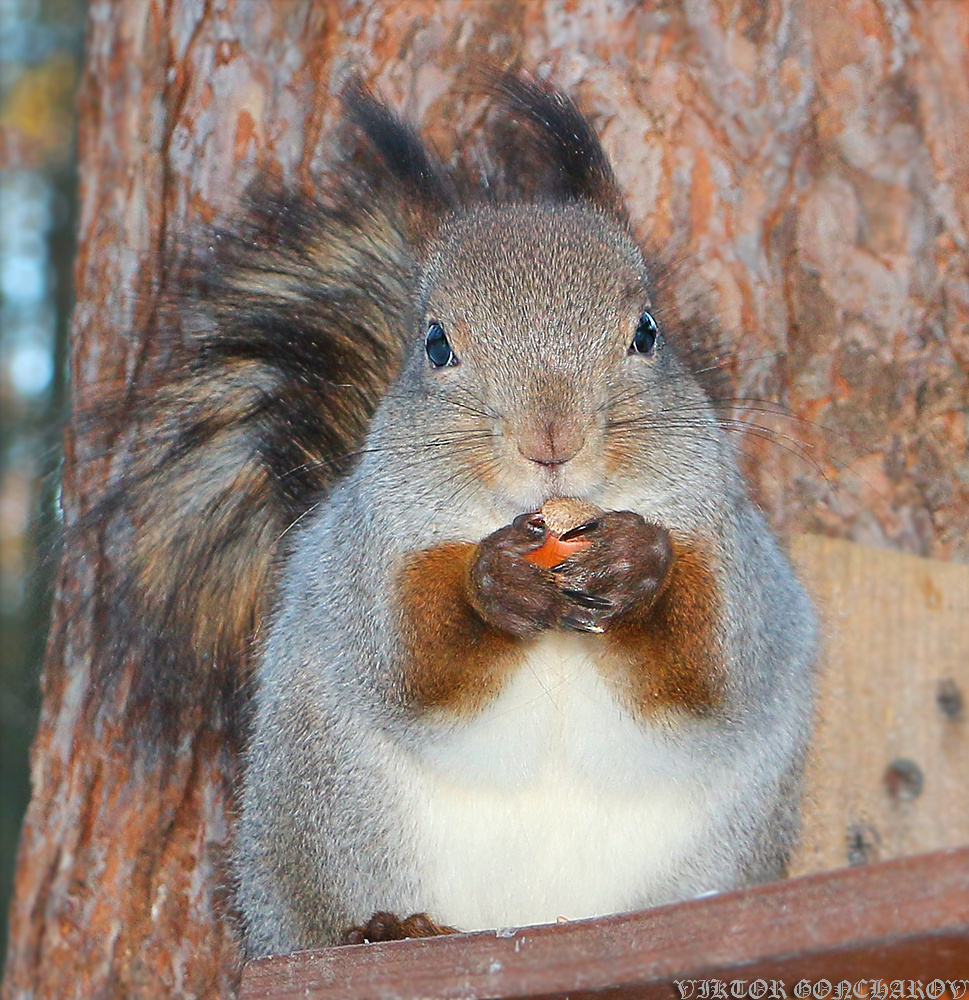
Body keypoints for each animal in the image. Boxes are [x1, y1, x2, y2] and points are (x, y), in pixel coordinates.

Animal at [89, 72, 816, 952]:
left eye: (646, 333)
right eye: (435, 344)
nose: (550, 439)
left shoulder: (734, 550)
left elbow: (710, 664)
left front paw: (638, 563)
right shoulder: (363, 557)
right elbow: (414, 660)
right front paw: (491, 583)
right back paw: (387, 931)